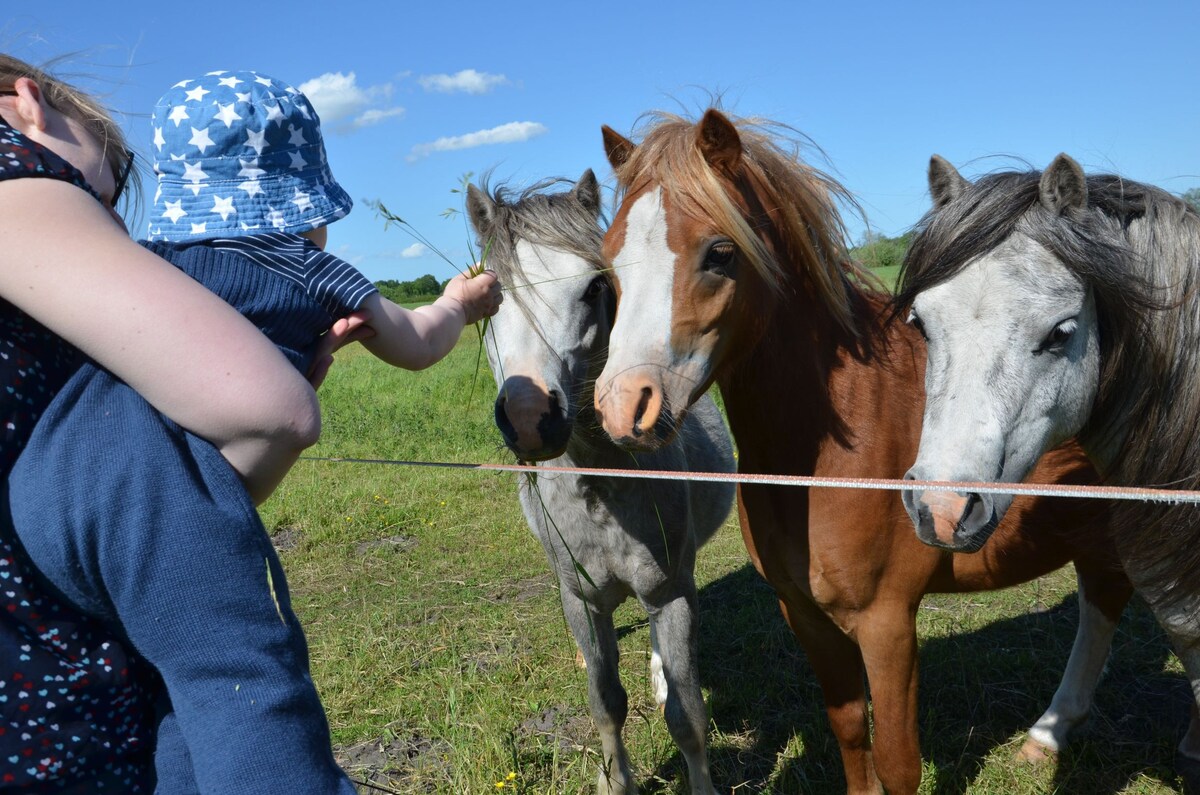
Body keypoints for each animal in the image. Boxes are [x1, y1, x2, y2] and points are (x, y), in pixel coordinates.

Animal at [465, 171, 729, 792]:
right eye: (489, 295)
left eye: (592, 288)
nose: (531, 417)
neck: (602, 486)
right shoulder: (582, 601)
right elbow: (606, 703)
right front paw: (617, 780)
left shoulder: (668, 590)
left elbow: (686, 716)